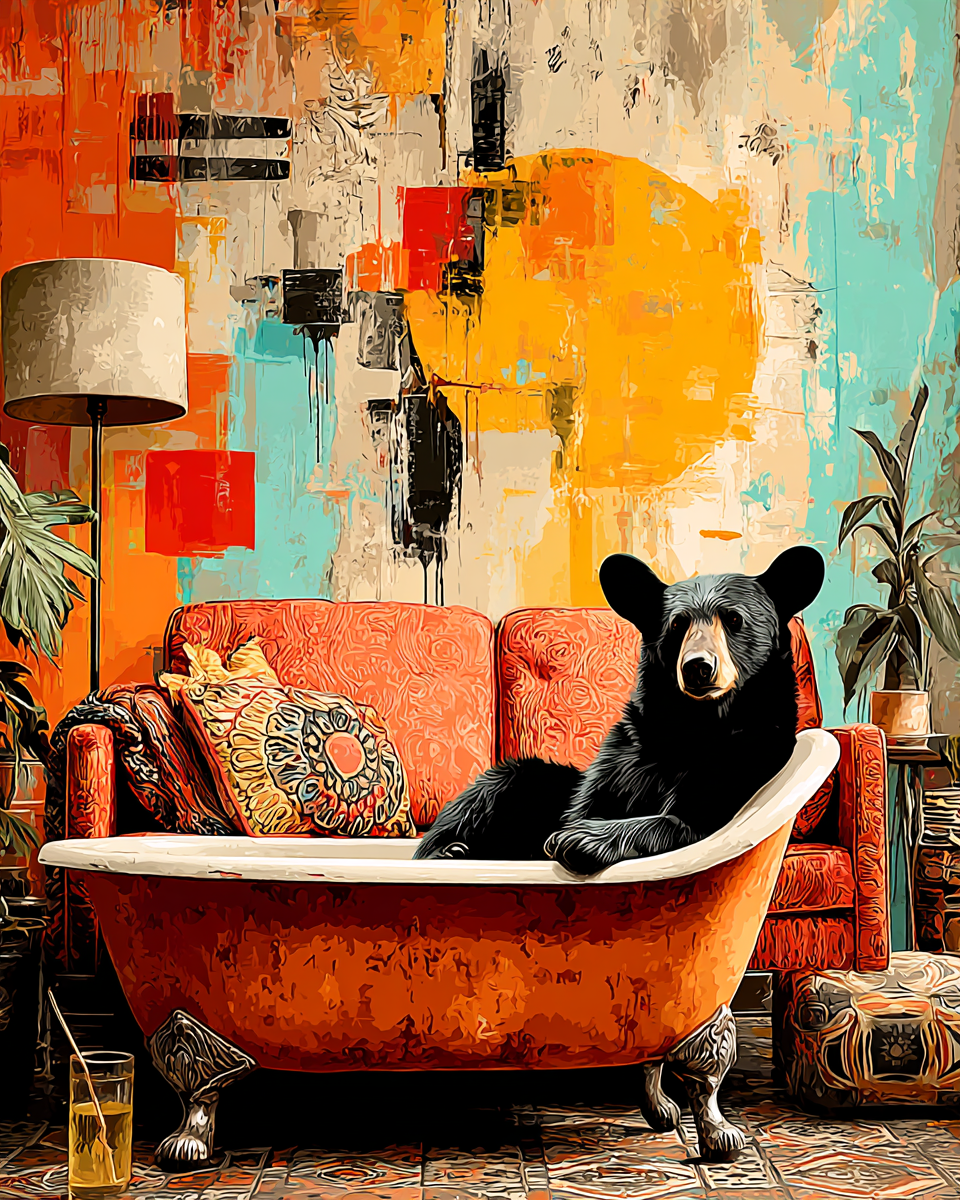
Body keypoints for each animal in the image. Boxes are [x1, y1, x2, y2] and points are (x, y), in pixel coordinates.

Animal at [414, 544, 824, 874]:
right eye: (677, 624)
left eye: (734, 619)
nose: (698, 667)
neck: (693, 725)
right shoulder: (624, 754)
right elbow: (586, 804)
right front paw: (568, 834)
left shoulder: (749, 756)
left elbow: (689, 821)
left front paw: (579, 839)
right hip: (526, 778)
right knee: (489, 792)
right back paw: (449, 850)